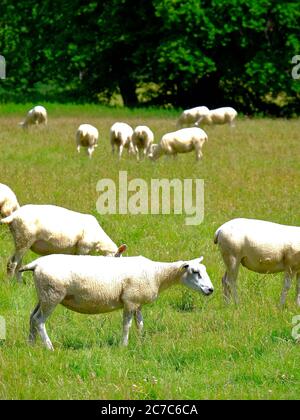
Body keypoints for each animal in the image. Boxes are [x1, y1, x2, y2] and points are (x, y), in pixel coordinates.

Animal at [18, 253, 213, 352]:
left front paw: (141, 343)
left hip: (43, 295)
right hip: (52, 295)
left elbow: (140, 324)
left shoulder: (138, 303)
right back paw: (49, 347)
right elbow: (127, 325)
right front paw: (124, 346)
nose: (211, 290)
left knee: (32, 317)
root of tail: (36, 264)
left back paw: (30, 345)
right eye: (195, 271)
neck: (157, 274)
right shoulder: (130, 300)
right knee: (39, 321)